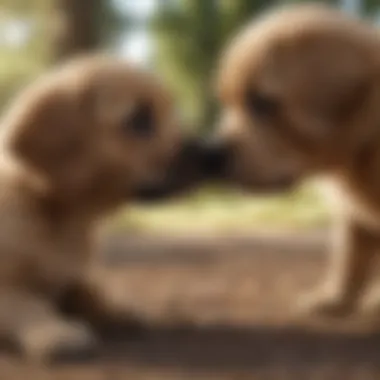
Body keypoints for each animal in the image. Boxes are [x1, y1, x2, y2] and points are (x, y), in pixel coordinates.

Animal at [0, 55, 214, 360]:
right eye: (139, 120)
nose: (211, 154)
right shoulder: (7, 289)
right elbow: (27, 305)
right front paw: (55, 332)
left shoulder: (75, 277)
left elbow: (92, 292)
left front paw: (119, 311)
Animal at [214, 2, 380, 318]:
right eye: (228, 101)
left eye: (262, 103)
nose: (208, 153)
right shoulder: (352, 213)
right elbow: (350, 258)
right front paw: (333, 300)